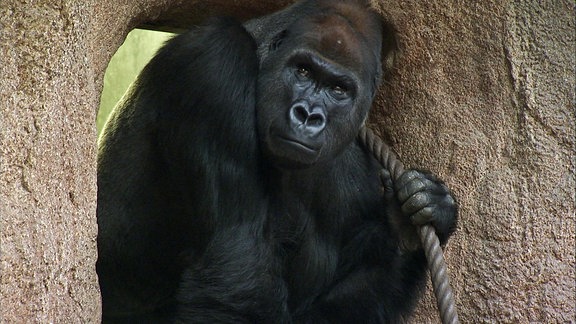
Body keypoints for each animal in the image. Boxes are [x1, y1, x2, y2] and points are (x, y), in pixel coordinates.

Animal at [98, 0, 460, 322]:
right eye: (303, 71)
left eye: (339, 89)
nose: (308, 115)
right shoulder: (214, 62)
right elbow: (238, 273)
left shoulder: (357, 174)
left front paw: (408, 229)